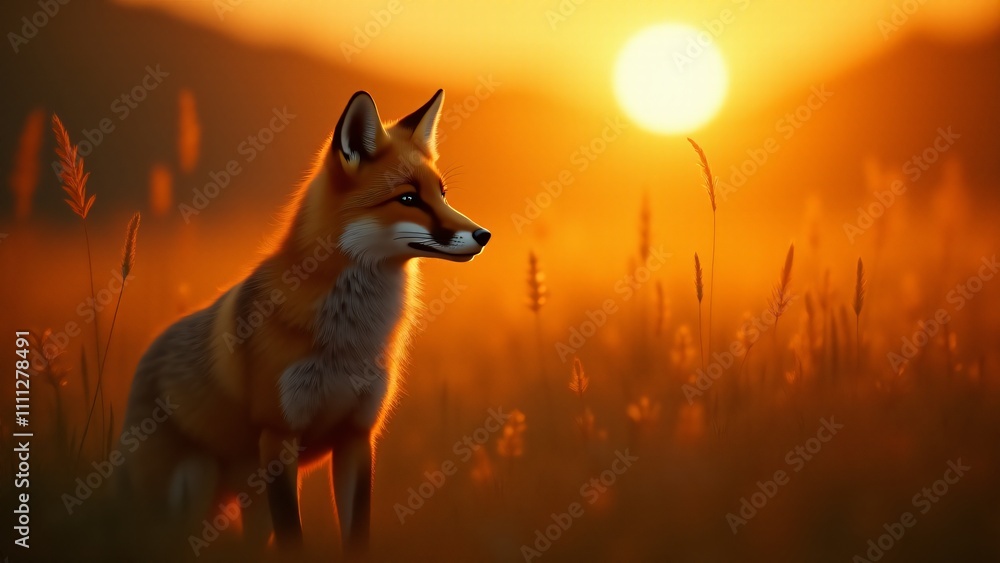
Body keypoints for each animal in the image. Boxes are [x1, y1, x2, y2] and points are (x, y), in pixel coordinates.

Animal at [121, 89, 490, 557]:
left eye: (441, 194)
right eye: (409, 199)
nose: (484, 235)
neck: (348, 340)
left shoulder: (356, 435)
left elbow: (357, 535)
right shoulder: (278, 435)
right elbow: (293, 539)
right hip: (191, 492)